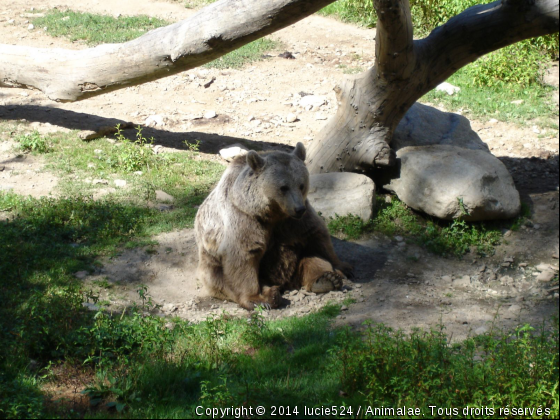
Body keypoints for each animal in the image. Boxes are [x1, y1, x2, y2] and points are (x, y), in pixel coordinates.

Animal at [195, 143, 352, 310]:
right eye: (284, 187)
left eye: (301, 185)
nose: (298, 209)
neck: (273, 213)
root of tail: (287, 282)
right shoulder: (245, 219)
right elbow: (243, 256)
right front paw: (254, 298)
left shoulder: (295, 222)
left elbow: (317, 236)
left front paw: (343, 267)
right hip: (210, 261)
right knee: (221, 280)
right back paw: (271, 296)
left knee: (311, 257)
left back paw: (326, 280)